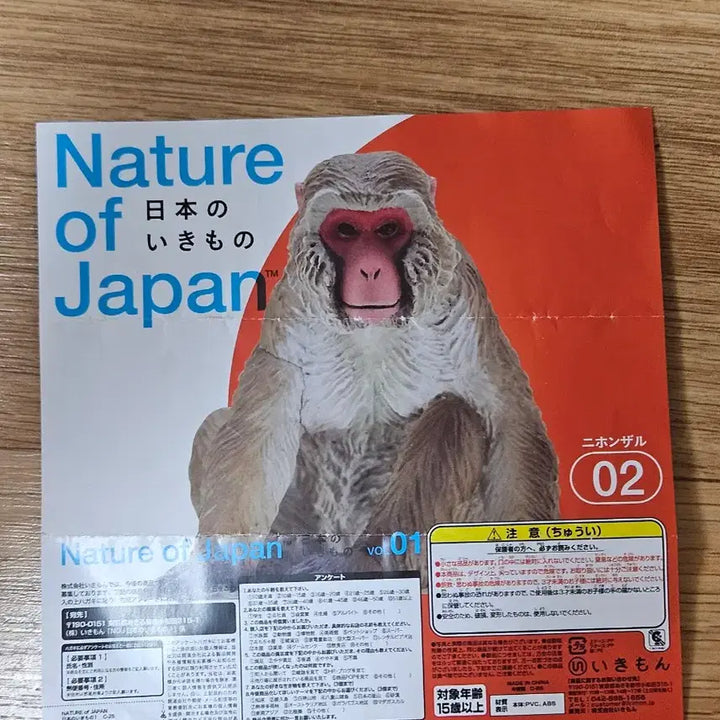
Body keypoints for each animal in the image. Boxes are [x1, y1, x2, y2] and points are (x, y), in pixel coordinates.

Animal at [189, 151, 558, 567]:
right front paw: (219, 563)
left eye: (387, 229)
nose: (370, 269)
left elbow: (511, 422)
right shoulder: (289, 311)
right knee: (213, 425)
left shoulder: (466, 294)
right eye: (347, 230)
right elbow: (258, 428)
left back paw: (371, 558)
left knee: (455, 412)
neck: (372, 330)